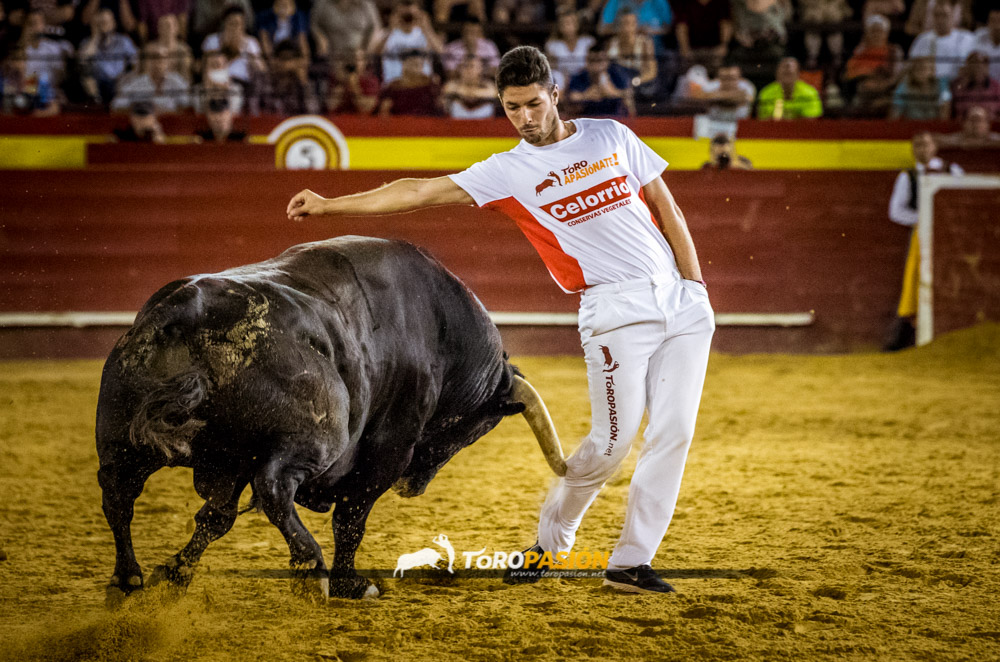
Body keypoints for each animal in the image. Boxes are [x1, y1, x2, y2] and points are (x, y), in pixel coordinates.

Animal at [97, 237, 568, 600]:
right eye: (474, 429)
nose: (413, 486)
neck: (442, 332)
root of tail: (186, 311)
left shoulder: (234, 461)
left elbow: (216, 518)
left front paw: (174, 571)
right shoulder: (387, 451)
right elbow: (351, 518)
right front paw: (350, 583)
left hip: (121, 437)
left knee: (119, 494)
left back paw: (128, 577)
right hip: (318, 436)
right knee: (275, 488)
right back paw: (311, 567)